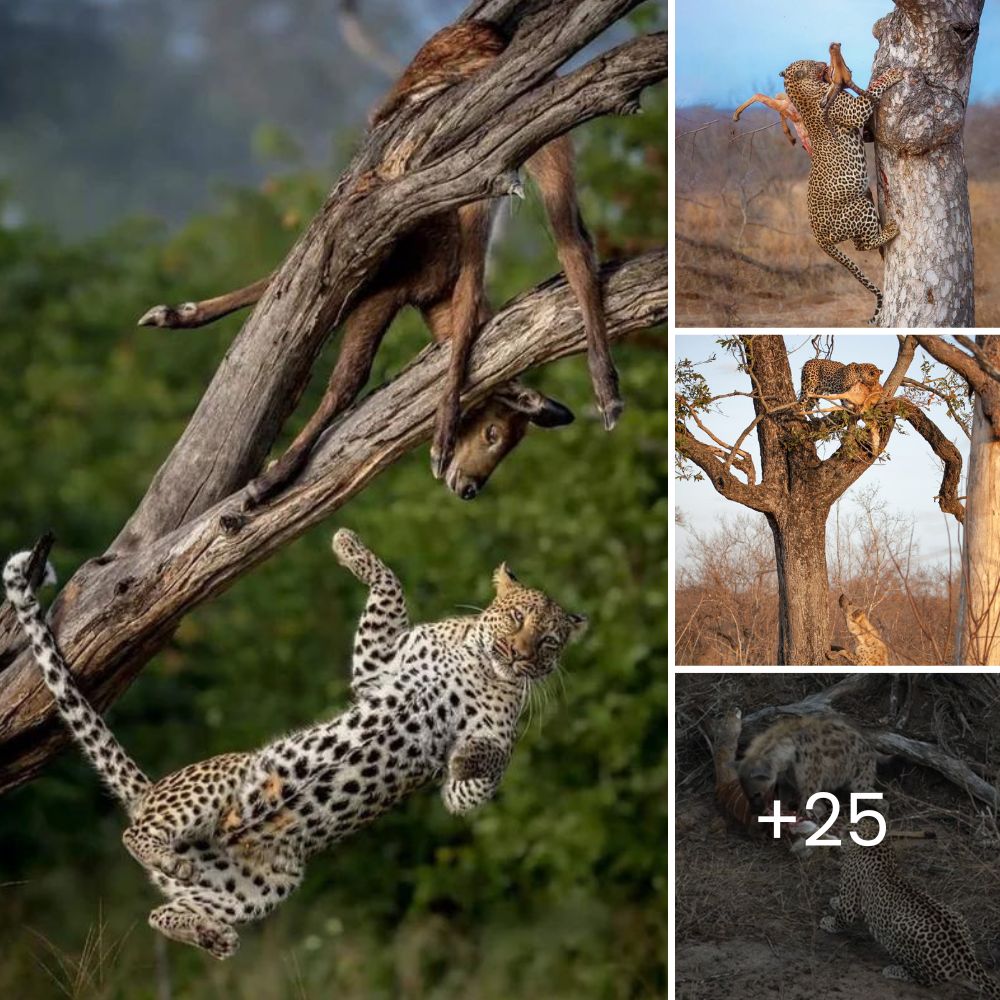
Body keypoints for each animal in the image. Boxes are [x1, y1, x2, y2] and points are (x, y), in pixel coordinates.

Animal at [1, 532, 584, 960]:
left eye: (549, 642)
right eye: (516, 618)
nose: (521, 652)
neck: (483, 665)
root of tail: (150, 792)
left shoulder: (474, 773)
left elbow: (487, 765)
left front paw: (464, 758)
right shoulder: (377, 670)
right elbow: (388, 588)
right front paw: (349, 545)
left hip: (261, 887)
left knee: (157, 910)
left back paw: (213, 934)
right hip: (226, 780)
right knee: (133, 836)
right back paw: (176, 871)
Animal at [736, 716, 876, 824]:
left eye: (757, 794)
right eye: (747, 794)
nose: (754, 811)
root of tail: (869, 747)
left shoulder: (813, 769)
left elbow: (808, 794)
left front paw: (803, 815)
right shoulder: (786, 777)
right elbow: (784, 795)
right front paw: (781, 810)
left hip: (860, 779)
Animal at [780, 59, 908, 324]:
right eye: (811, 63)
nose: (823, 62)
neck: (804, 93)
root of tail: (817, 236)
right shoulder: (853, 110)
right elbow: (872, 91)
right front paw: (891, 74)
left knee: (859, 241)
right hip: (858, 208)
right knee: (862, 245)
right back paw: (890, 230)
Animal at [820, 816, 1000, 996]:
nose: (840, 829)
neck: (876, 842)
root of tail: (963, 953)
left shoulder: (850, 900)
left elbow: (843, 917)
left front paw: (828, 923)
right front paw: (834, 901)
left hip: (897, 929)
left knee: (925, 979)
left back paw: (894, 970)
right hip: (957, 916)